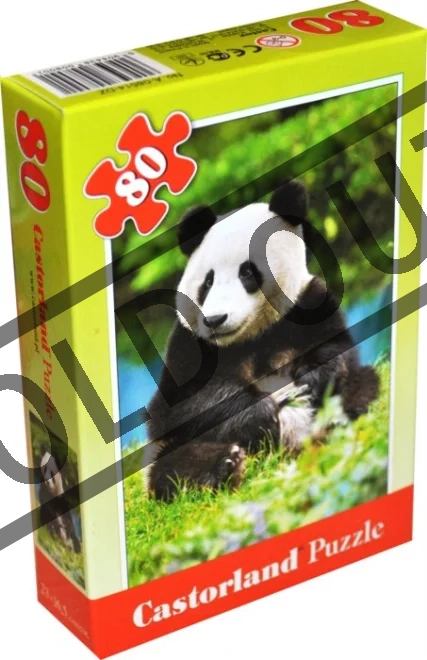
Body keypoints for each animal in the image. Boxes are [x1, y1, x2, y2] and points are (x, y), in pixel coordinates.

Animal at [146, 179, 379, 501]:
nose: (215, 319)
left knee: (362, 384)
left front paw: (312, 377)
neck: (252, 334)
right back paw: (224, 465)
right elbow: (177, 407)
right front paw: (259, 412)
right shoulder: (188, 343)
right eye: (208, 281)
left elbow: (338, 350)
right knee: (172, 465)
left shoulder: (308, 304)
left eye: (247, 272)